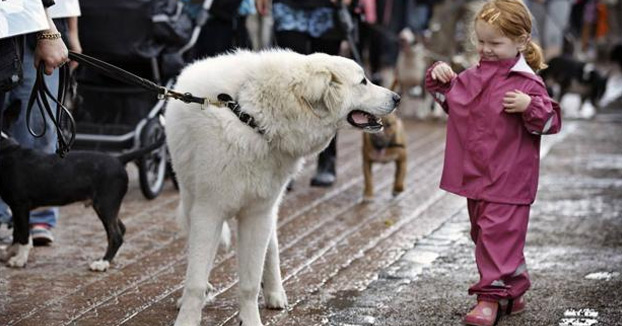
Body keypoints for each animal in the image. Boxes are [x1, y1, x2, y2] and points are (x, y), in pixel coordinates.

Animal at [0, 132, 163, 270]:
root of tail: (118, 159)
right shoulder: (16, 208)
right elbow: (17, 232)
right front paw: (9, 252)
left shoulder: (21, 205)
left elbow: (23, 235)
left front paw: (19, 260)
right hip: (108, 206)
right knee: (121, 229)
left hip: (105, 204)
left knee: (116, 235)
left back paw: (102, 263)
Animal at [166, 49, 400, 326]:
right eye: (363, 81)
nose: (397, 98)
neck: (250, 118)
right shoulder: (208, 212)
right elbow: (196, 281)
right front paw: (187, 318)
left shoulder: (258, 214)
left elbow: (250, 282)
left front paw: (251, 319)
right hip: (191, 200)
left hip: (269, 208)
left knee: (272, 248)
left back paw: (275, 293)